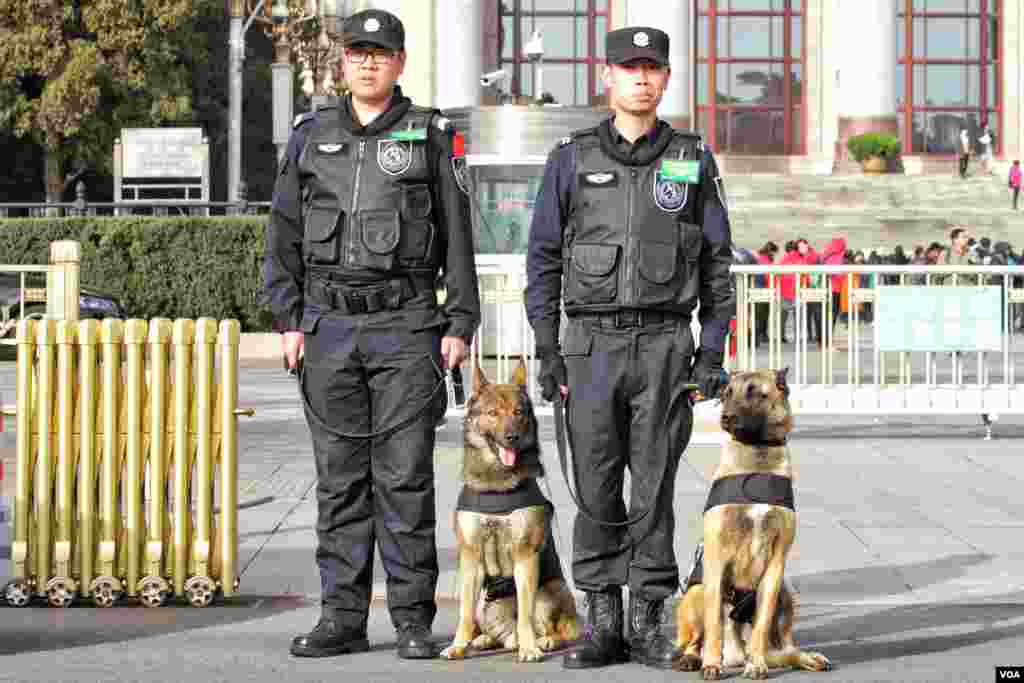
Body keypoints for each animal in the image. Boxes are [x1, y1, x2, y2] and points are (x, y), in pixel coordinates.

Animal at [438, 358, 577, 663]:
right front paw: (458, 645)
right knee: (492, 630)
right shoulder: (471, 556)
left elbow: (525, 615)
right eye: (493, 413)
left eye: (518, 412)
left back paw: (543, 641)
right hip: (485, 599)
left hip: (551, 589)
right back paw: (483, 640)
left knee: (560, 630)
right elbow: (464, 613)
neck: (496, 483)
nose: (512, 437)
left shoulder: (525, 555)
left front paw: (530, 648)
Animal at [675, 370, 827, 679]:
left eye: (755, 392)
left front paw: (756, 664)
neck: (757, 460)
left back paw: (802, 657)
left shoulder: (776, 565)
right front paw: (711, 664)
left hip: (786, 594)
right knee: (698, 639)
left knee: (784, 646)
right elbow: (714, 624)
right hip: (696, 593)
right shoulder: (716, 560)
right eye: (727, 394)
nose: (725, 417)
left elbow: (762, 625)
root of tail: (736, 654)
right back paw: (694, 659)